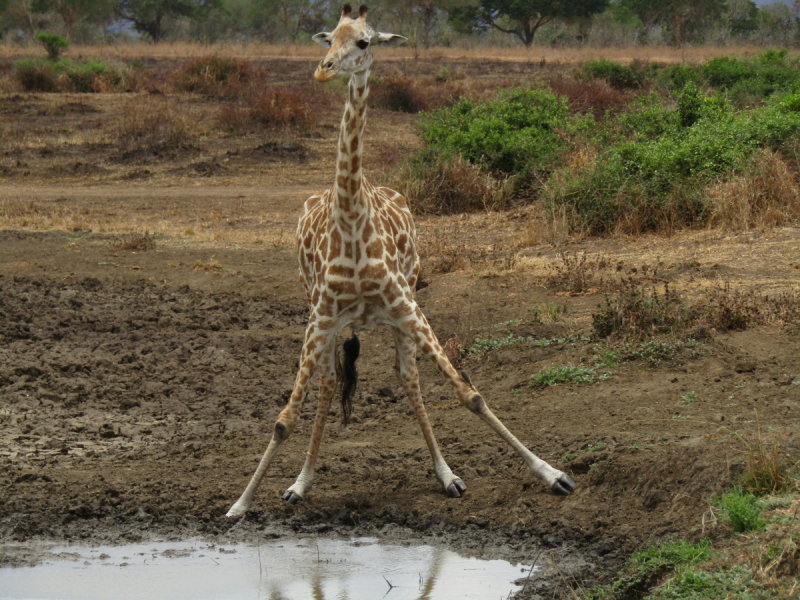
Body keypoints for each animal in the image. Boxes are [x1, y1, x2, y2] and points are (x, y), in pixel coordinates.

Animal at [225, 3, 576, 520]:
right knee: (329, 384)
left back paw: (447, 474)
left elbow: (469, 392)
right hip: (322, 317)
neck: (351, 220)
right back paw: (302, 481)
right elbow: (284, 418)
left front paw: (553, 474)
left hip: (400, 307)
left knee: (408, 379)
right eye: (329, 38)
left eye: (364, 42)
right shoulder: (320, 316)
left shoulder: (407, 306)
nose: (323, 69)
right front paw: (240, 503)